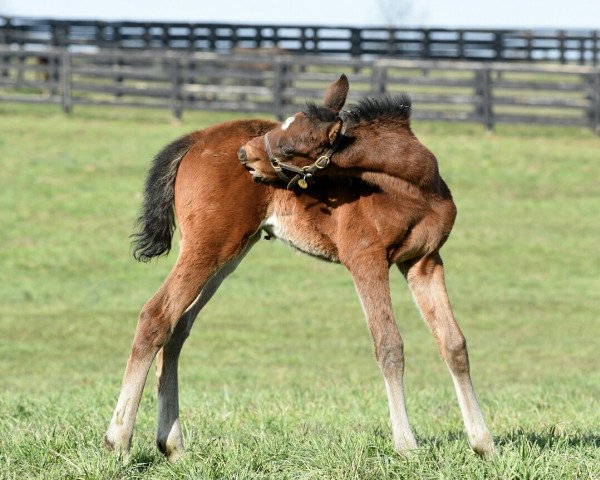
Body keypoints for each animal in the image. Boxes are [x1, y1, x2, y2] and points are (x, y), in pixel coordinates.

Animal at [105, 76, 494, 462]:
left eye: (291, 148)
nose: (245, 155)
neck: (412, 187)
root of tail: (196, 138)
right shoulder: (365, 259)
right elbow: (388, 345)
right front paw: (407, 446)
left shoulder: (424, 261)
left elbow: (453, 343)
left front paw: (483, 443)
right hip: (210, 245)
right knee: (156, 315)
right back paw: (118, 440)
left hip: (227, 254)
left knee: (178, 326)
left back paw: (172, 445)